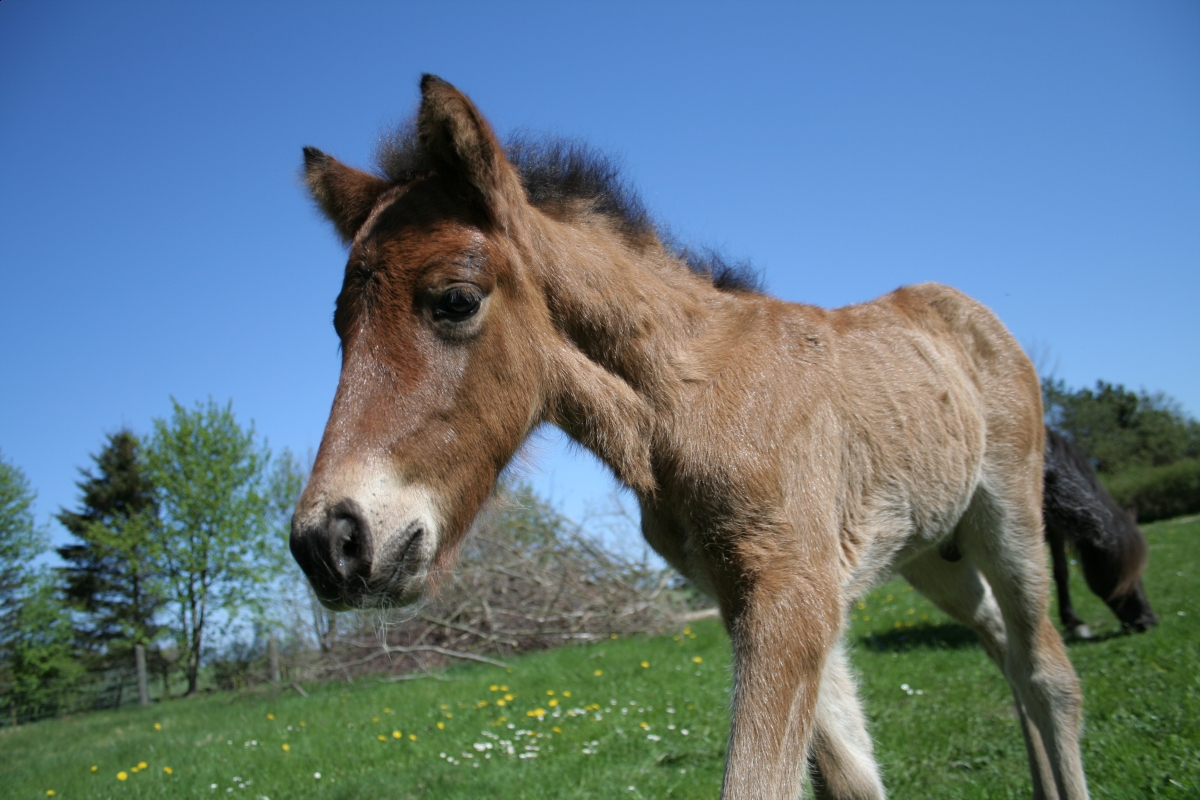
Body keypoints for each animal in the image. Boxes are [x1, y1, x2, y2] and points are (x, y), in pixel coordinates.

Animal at [290, 75, 1089, 799]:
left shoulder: (792, 595)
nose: (329, 543)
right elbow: (848, 776)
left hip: (1009, 515)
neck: (688, 403)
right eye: (340, 326)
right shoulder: (757, 596)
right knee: (1003, 647)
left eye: (455, 301)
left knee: (1049, 675)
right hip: (932, 553)